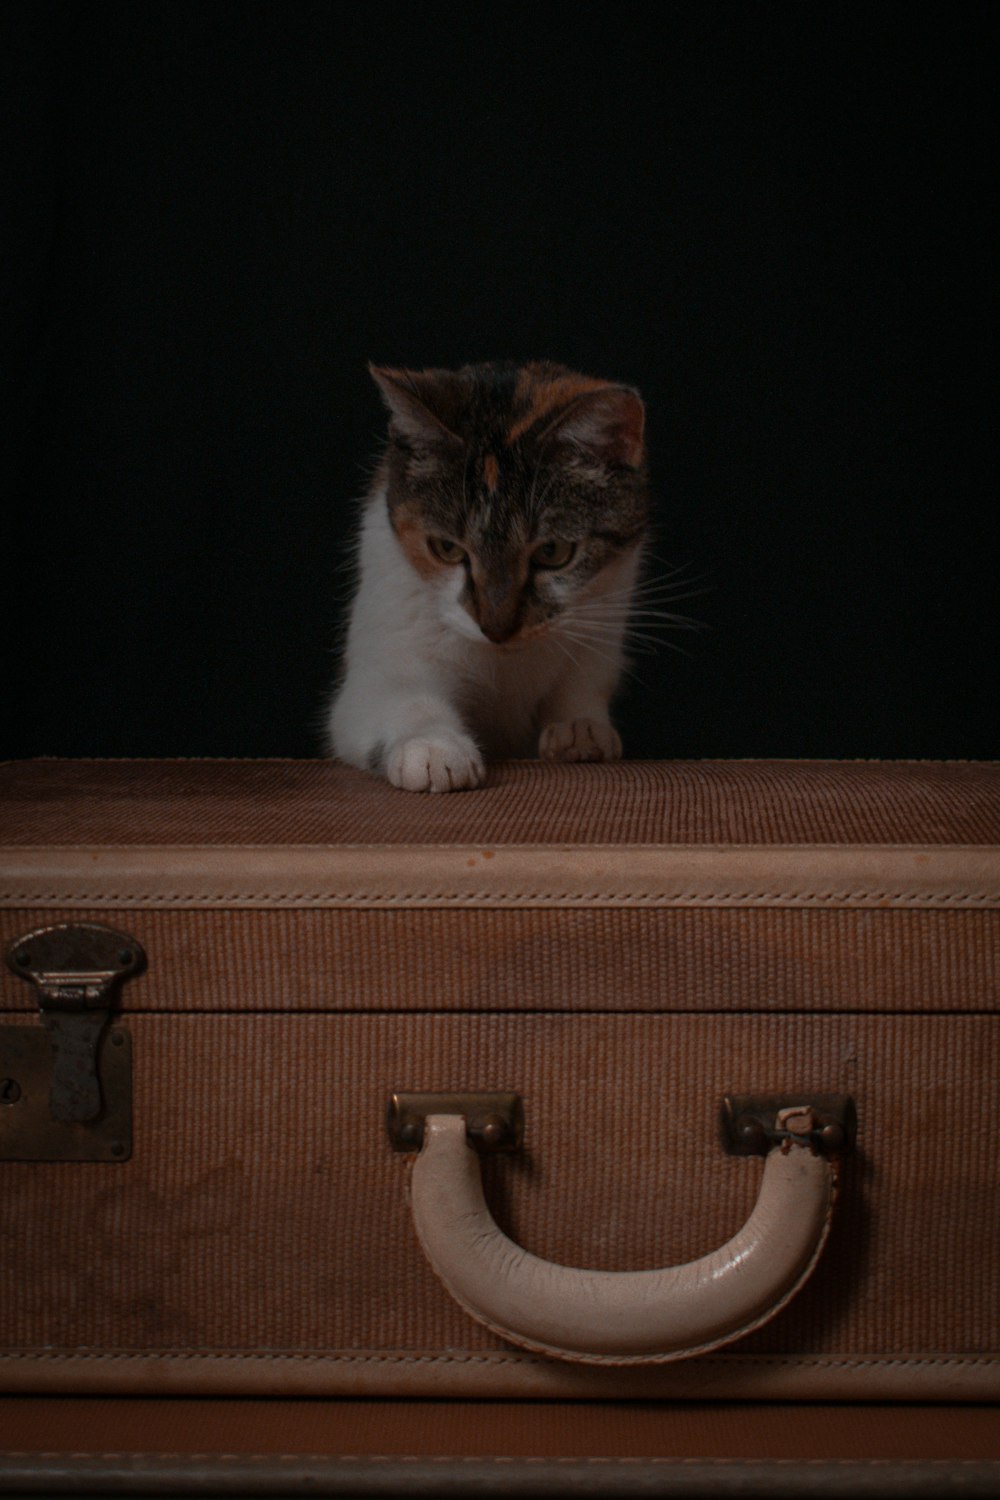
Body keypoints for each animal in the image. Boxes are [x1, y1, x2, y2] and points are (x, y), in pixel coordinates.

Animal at [329, 358, 650, 792]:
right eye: (447, 549)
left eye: (553, 552)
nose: (497, 628)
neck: (505, 666)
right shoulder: (379, 659)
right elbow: (400, 697)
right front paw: (432, 746)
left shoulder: (605, 614)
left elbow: (580, 685)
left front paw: (579, 727)